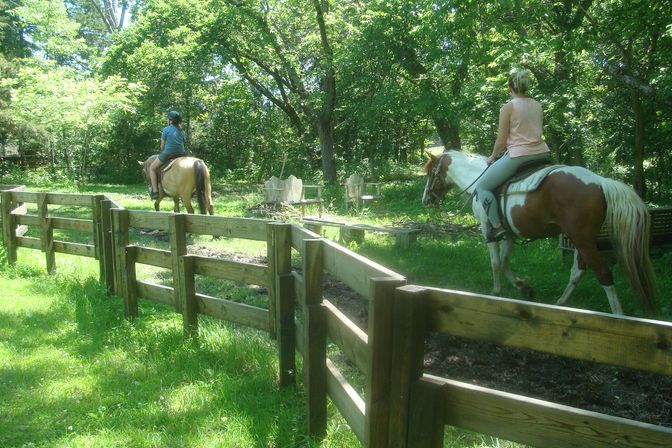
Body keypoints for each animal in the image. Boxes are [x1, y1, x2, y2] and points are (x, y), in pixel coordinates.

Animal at [422, 150, 652, 316]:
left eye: (431, 173)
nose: (426, 200)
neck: (478, 181)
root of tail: (600, 182)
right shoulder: (509, 234)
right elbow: (504, 261)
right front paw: (524, 288)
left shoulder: (488, 230)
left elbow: (495, 263)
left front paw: (496, 292)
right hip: (581, 240)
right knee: (577, 272)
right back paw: (560, 303)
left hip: (583, 240)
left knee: (603, 273)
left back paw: (618, 315)